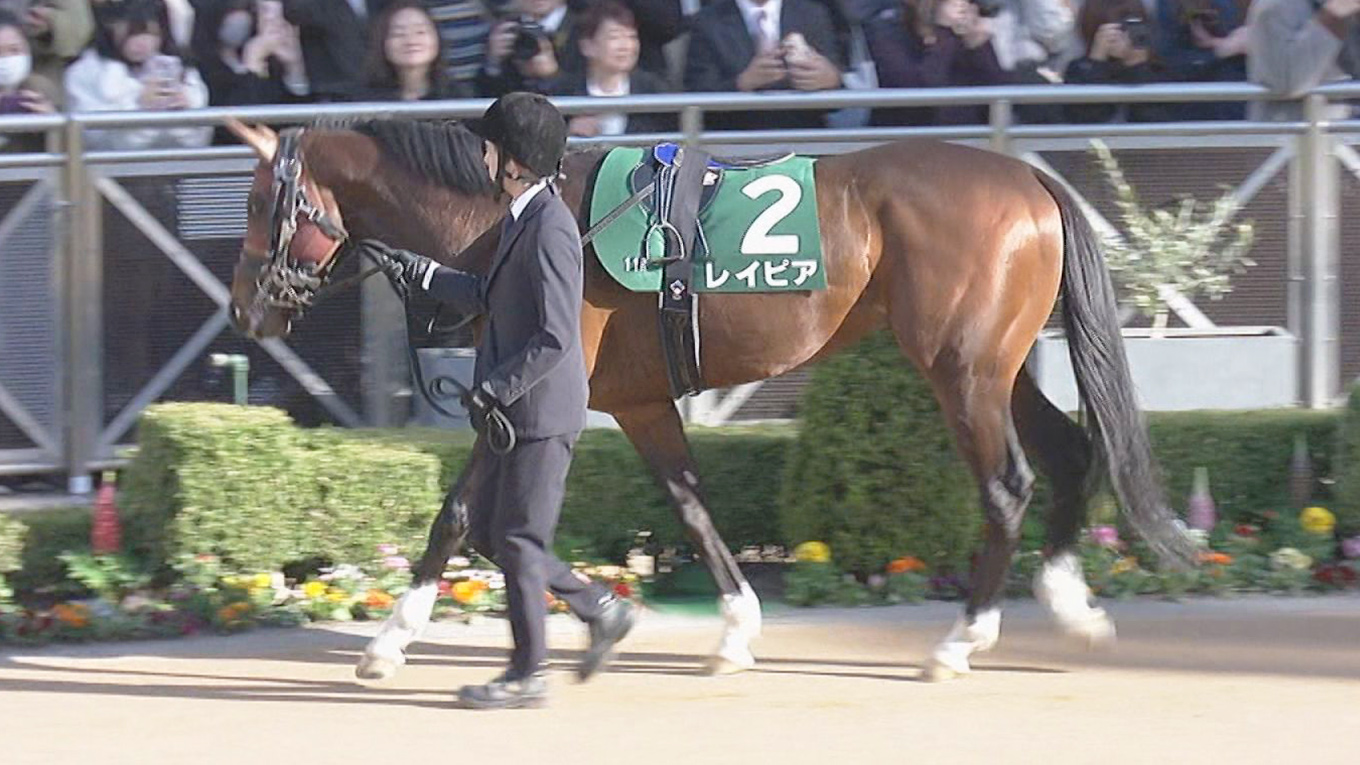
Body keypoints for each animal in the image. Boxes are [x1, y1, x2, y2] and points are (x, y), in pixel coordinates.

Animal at [224, 116, 1197, 683]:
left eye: (262, 200)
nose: (245, 308)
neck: (510, 220)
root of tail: (1029, 180)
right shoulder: (639, 402)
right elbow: (689, 503)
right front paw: (729, 628)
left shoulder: (535, 387)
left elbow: (459, 511)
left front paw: (391, 637)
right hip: (1002, 364)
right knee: (1072, 455)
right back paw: (1070, 605)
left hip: (961, 370)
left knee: (1007, 486)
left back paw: (960, 640)